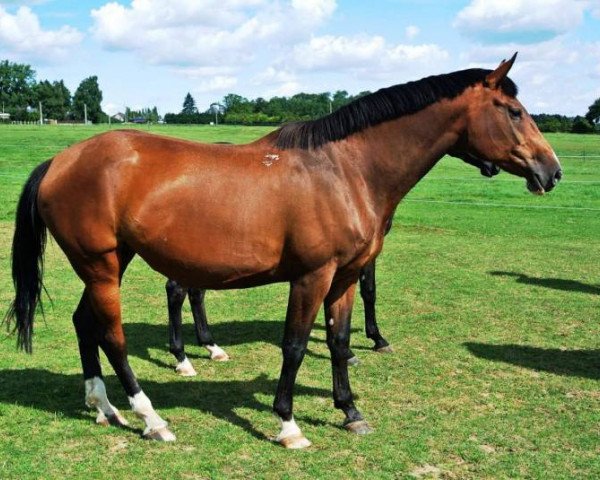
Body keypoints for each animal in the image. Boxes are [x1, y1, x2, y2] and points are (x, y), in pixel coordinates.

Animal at [5, 54, 564, 448]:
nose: (551, 171)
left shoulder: (344, 278)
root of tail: (60, 160)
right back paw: (151, 418)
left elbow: (338, 342)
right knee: (113, 337)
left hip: (108, 265)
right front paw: (288, 424)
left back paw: (104, 406)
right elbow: (294, 345)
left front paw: (350, 411)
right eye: (514, 112)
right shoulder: (312, 276)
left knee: (86, 325)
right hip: (102, 266)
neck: (345, 169)